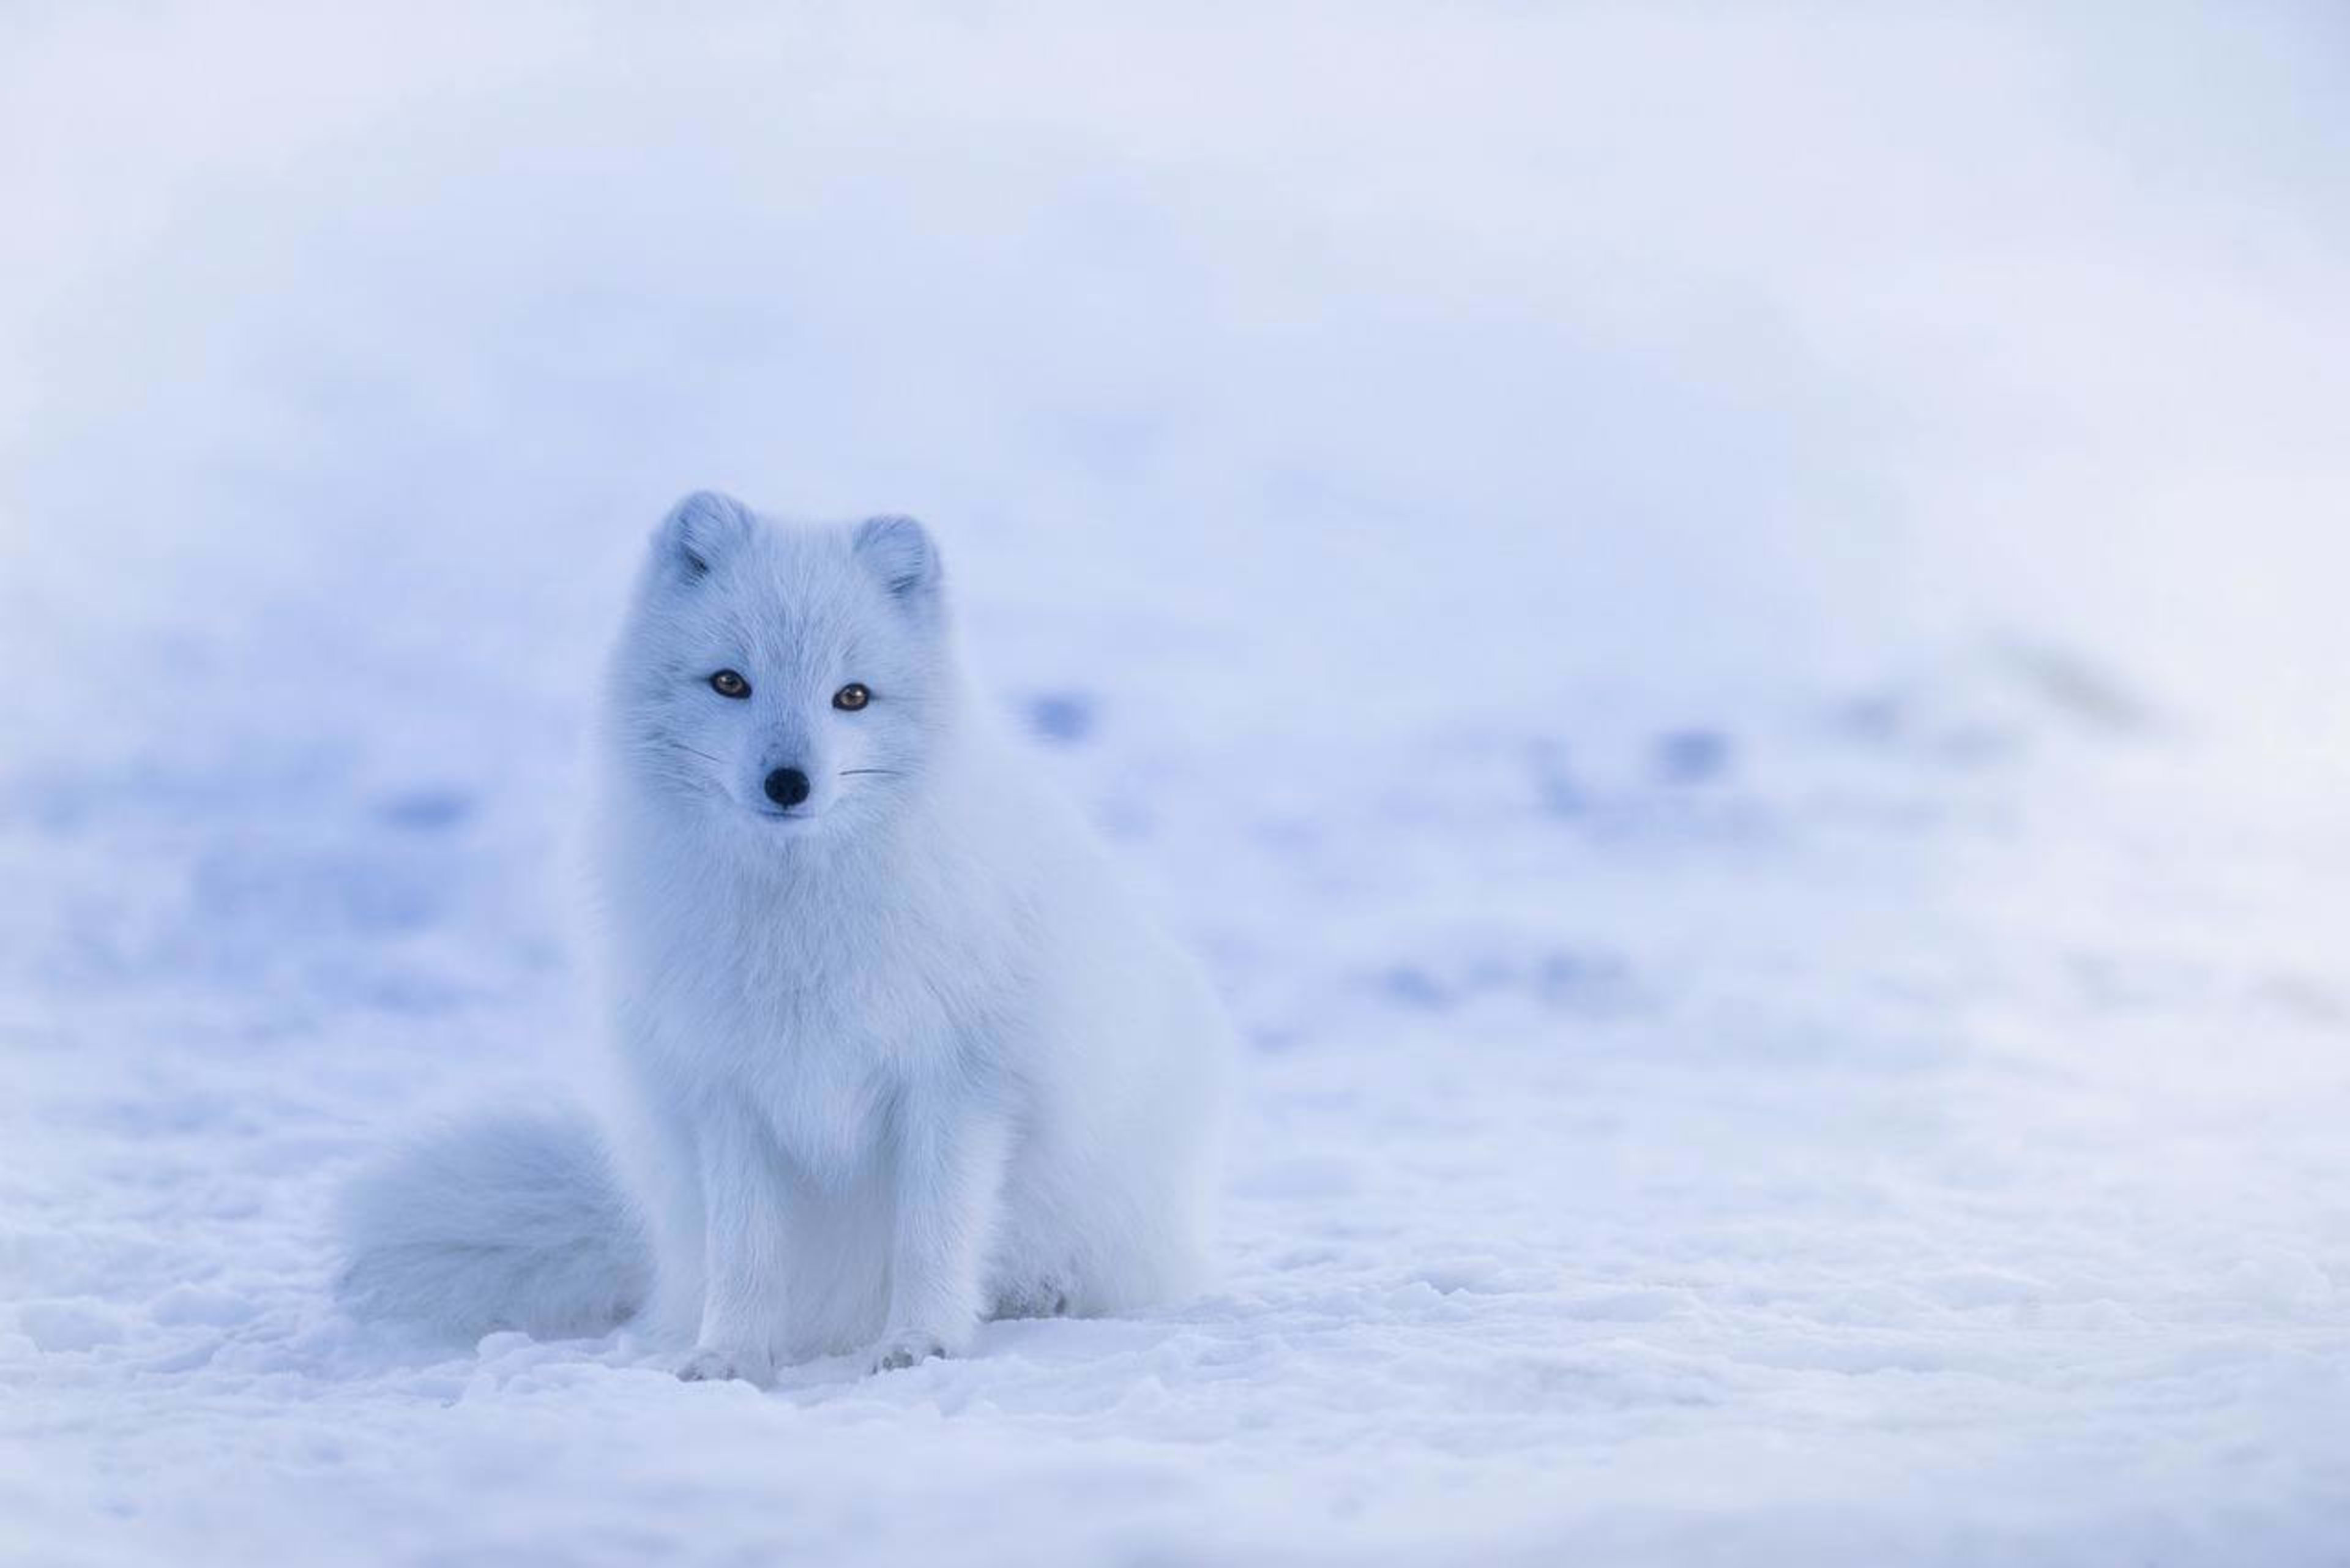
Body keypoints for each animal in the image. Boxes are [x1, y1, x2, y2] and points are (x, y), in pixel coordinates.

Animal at [345, 493, 1240, 1382]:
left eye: (854, 697)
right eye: (730, 682)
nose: (788, 782)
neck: (798, 918)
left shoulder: (957, 1083)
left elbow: (934, 1232)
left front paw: (923, 1342)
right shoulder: (727, 1089)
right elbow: (746, 1251)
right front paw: (730, 1356)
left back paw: (1036, 1295)